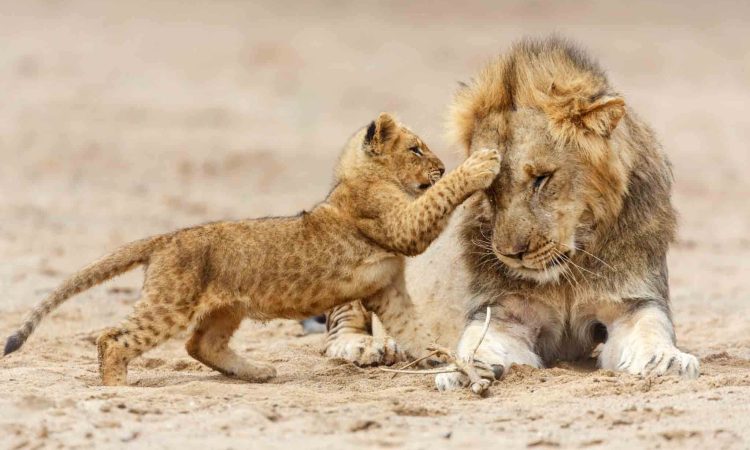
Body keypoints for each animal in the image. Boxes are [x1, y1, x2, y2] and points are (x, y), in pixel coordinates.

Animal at [3, 112, 501, 386]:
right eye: (416, 149)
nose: (440, 167)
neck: (356, 180)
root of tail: (167, 236)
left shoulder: (388, 290)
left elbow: (414, 329)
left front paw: (441, 359)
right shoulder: (399, 226)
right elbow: (436, 202)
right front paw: (482, 163)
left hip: (224, 308)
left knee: (199, 344)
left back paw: (258, 371)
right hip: (171, 303)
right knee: (113, 338)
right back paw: (116, 387)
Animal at [323, 37, 699, 390]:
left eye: (541, 178)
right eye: (488, 187)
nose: (511, 255)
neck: (567, 273)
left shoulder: (632, 302)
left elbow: (651, 329)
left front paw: (667, 360)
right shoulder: (503, 313)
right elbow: (478, 342)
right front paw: (464, 368)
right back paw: (369, 347)